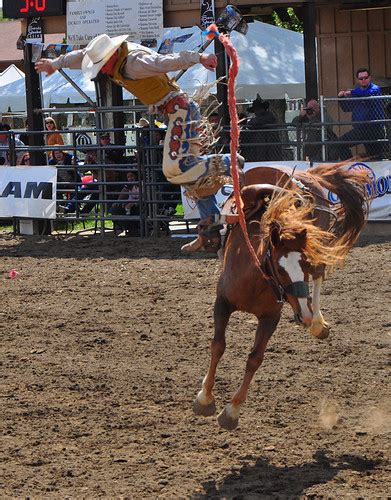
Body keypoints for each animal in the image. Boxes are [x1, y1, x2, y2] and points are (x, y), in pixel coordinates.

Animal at [195, 164, 370, 430]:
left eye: (303, 264)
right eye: (279, 268)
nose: (304, 315)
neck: (254, 280)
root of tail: (309, 174)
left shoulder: (270, 317)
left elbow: (255, 359)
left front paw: (232, 411)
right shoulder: (222, 302)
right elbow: (218, 346)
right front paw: (205, 398)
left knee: (320, 274)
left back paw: (317, 323)